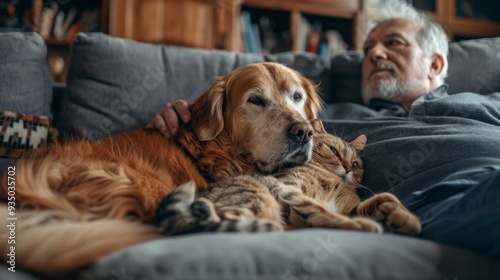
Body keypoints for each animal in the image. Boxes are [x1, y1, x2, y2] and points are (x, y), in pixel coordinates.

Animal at [157, 119, 422, 235]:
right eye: (334, 151)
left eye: (356, 165)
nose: (348, 168)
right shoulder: (289, 188)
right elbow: (321, 211)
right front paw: (363, 224)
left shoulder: (349, 207)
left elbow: (385, 198)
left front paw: (405, 218)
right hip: (258, 198)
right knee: (212, 222)